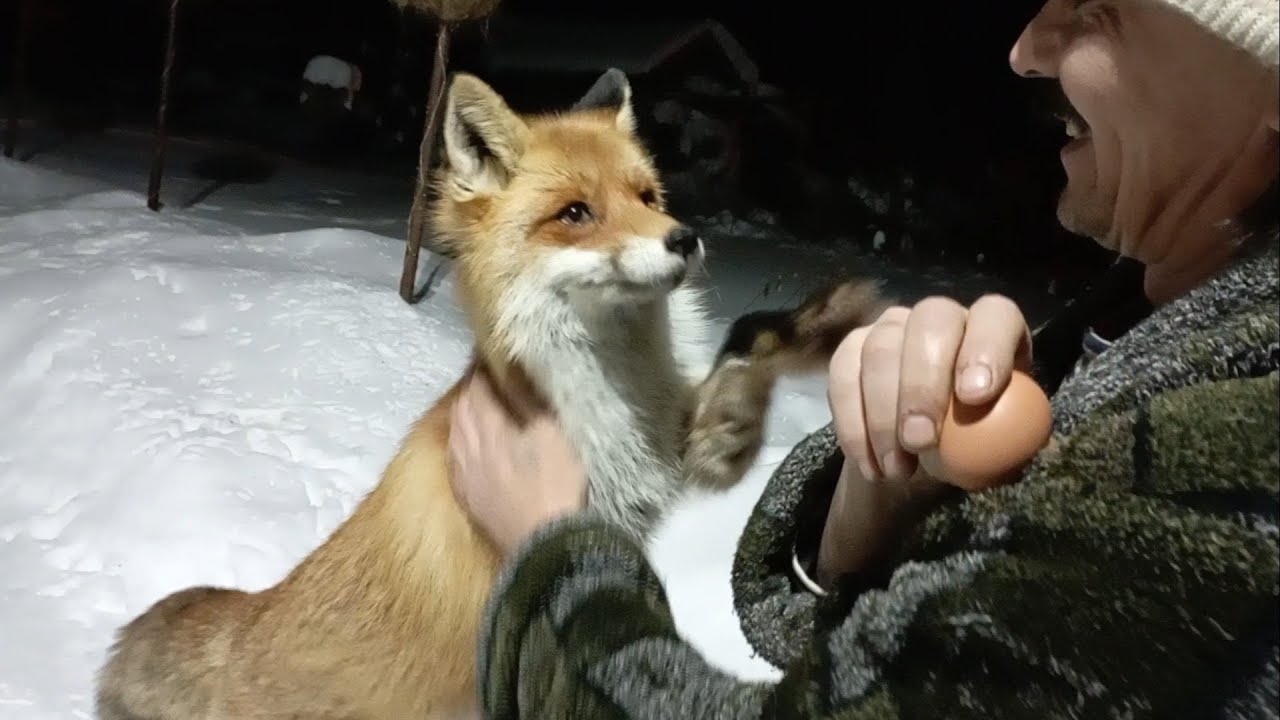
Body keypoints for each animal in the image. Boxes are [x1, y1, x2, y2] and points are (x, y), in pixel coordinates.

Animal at [94, 68, 890, 720]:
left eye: (647, 197)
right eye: (576, 213)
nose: (685, 238)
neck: (610, 395)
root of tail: (247, 619)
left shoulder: (653, 464)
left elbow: (748, 346)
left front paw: (792, 359)